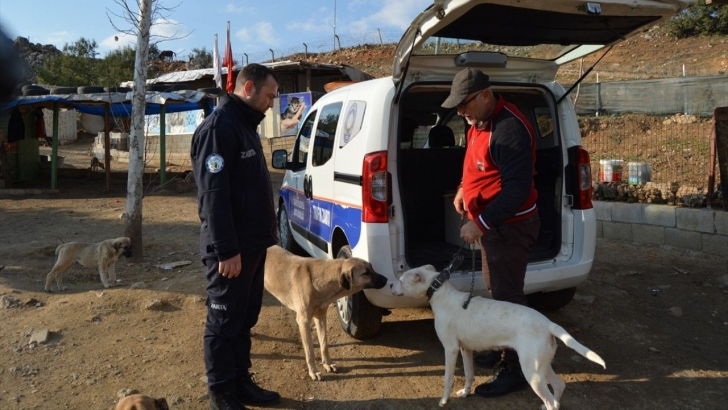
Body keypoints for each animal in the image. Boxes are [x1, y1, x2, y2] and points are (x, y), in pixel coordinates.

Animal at [262, 243, 386, 382]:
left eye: (372, 267)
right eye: (366, 272)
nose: (386, 279)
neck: (318, 280)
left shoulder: (321, 316)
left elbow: (324, 344)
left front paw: (328, 364)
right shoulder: (303, 322)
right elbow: (309, 351)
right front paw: (313, 371)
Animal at [390, 264, 604, 408]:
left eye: (401, 280)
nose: (390, 285)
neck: (441, 294)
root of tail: (548, 323)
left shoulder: (450, 349)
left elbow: (448, 378)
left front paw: (444, 400)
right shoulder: (465, 349)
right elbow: (469, 374)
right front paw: (465, 393)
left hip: (532, 373)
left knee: (552, 401)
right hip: (540, 365)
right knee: (559, 387)